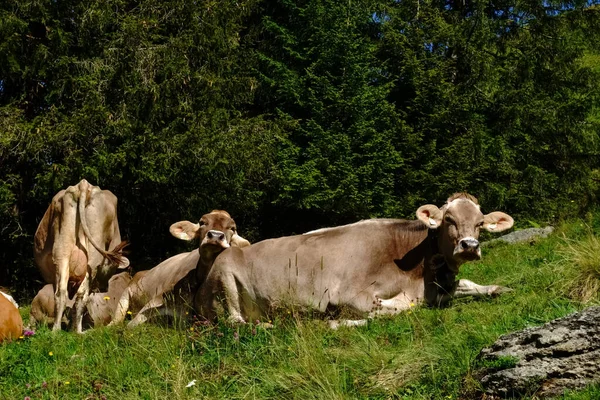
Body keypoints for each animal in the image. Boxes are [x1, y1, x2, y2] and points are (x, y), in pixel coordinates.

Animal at [33, 180, 129, 332]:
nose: (105, 288)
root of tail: (83, 184)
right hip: (94, 257)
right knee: (81, 295)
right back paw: (78, 331)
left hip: (62, 251)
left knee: (61, 293)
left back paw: (56, 330)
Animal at [109, 209, 250, 328]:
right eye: (202, 222)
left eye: (232, 228)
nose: (215, 236)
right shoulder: (155, 302)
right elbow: (130, 326)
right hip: (125, 293)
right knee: (116, 319)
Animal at [198, 194, 516, 328]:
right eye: (449, 219)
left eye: (480, 223)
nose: (469, 246)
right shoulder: (349, 294)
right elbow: (400, 308)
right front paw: (337, 321)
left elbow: (466, 284)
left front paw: (498, 288)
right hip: (226, 279)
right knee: (235, 322)